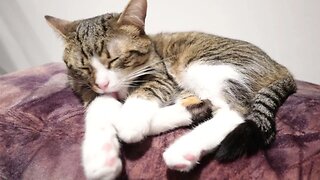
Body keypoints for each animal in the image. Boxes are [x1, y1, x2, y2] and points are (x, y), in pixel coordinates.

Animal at [44, 0, 296, 179]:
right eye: (83, 67)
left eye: (115, 59)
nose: (103, 84)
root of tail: (282, 69)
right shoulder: (86, 89)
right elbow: (98, 108)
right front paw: (101, 155)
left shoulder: (161, 75)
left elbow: (144, 92)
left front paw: (129, 122)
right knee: (203, 105)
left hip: (203, 65)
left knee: (233, 112)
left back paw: (182, 149)